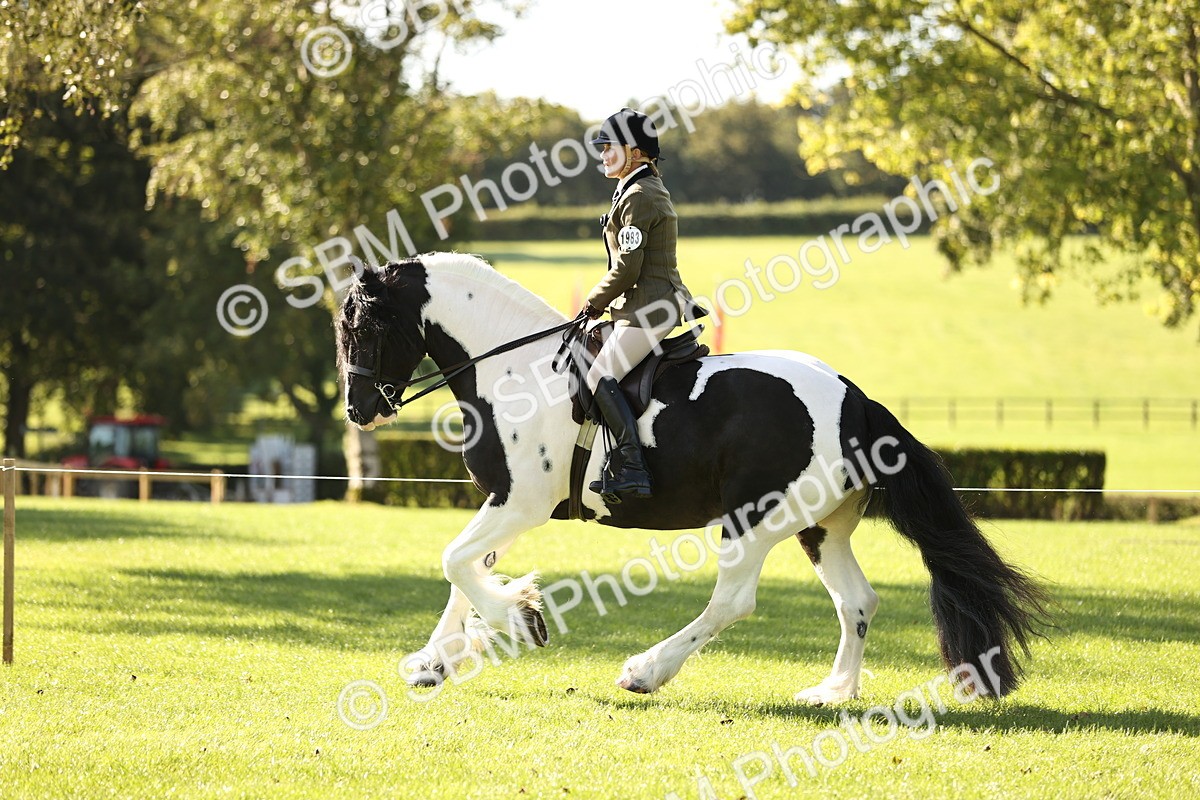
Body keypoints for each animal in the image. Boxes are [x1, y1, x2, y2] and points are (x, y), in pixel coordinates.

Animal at [335, 252, 1048, 704]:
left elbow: (455, 562)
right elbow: (462, 570)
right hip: (819, 526)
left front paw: (520, 620)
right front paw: (435, 662)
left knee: (734, 601)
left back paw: (645, 672)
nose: (358, 409)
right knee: (858, 601)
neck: (518, 371)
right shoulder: (505, 503)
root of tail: (855, 401)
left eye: (363, 326)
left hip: (755, 518)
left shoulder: (522, 502)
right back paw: (831, 691)